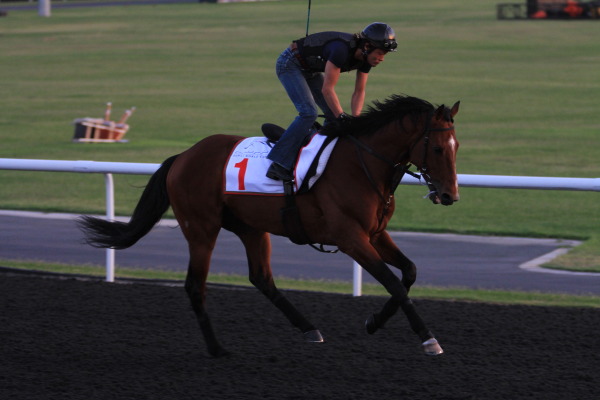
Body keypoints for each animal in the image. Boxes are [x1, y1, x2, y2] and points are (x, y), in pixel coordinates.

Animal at [78, 95, 460, 358]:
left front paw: (374, 321)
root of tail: (183, 156)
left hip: (251, 228)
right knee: (195, 286)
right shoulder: (351, 238)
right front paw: (428, 338)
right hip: (201, 227)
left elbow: (409, 272)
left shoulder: (375, 234)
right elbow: (393, 283)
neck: (361, 165)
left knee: (261, 278)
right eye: (439, 149)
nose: (449, 195)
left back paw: (309, 328)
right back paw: (217, 349)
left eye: (457, 148)